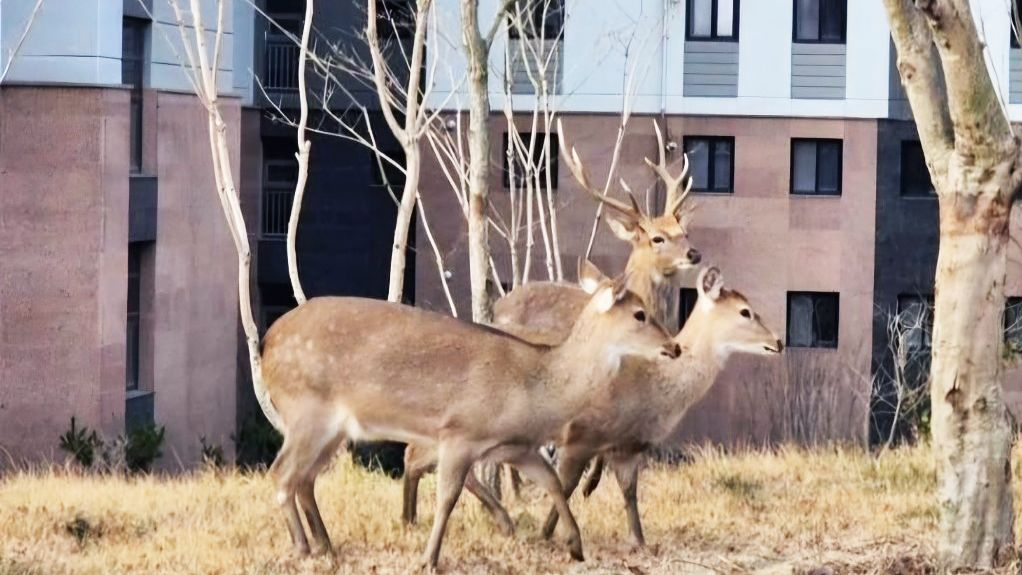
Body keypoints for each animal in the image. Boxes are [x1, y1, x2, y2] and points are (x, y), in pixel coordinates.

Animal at [259, 275, 682, 570]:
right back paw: (304, 547)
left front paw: (574, 545)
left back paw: (325, 544)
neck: (536, 387)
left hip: (332, 429)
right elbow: (447, 496)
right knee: (281, 474)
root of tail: (266, 344)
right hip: (306, 411)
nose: (674, 346)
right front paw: (429, 558)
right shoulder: (460, 432)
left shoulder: (516, 446)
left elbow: (552, 482)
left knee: (304, 479)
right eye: (640, 314)